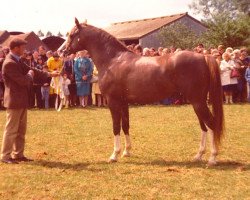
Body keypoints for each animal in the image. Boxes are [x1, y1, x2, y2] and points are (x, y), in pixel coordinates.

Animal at [63, 18, 225, 166]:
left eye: (72, 34)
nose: (62, 51)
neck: (113, 60)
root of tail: (203, 56)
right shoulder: (124, 102)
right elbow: (125, 125)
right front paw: (127, 151)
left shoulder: (113, 102)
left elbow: (116, 127)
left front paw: (114, 155)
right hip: (197, 101)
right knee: (204, 126)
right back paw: (198, 155)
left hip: (198, 101)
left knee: (211, 124)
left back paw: (212, 158)